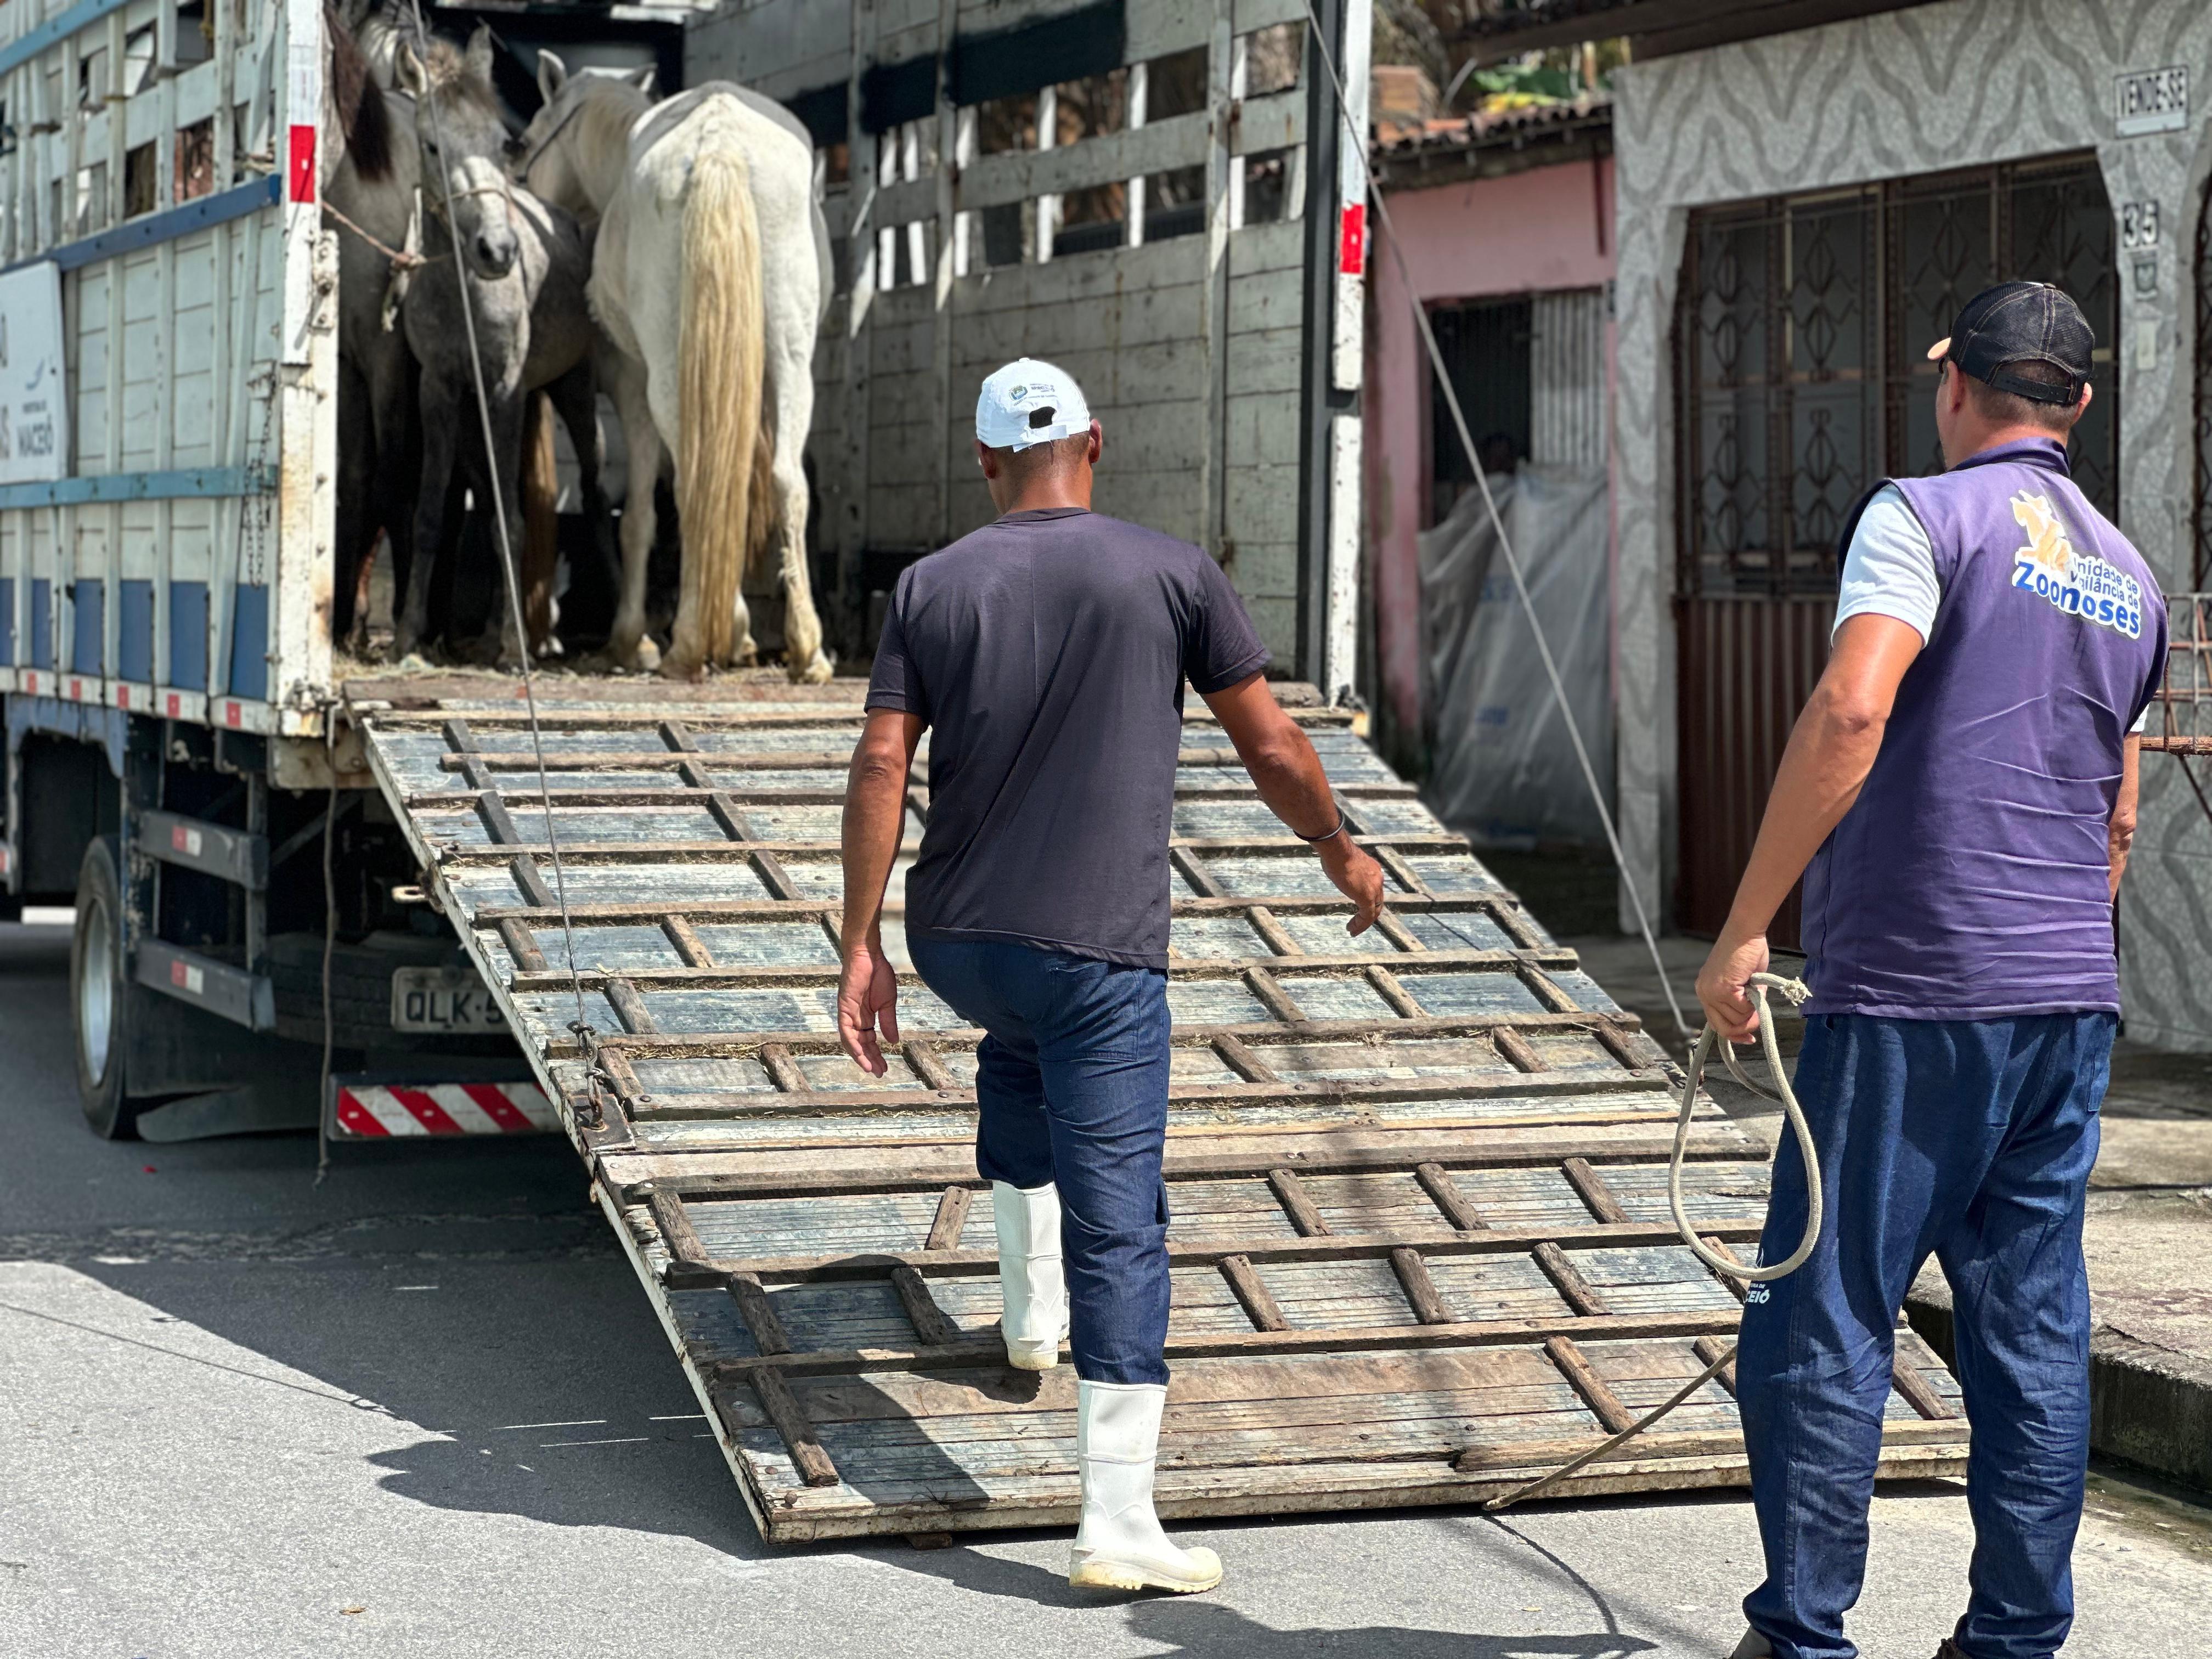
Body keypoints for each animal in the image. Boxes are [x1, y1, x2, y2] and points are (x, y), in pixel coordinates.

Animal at [513, 57, 832, 681]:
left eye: (531, 140)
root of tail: (720, 141)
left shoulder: (631, 383)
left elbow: (638, 515)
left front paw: (632, 637)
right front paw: (738, 631)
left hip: (665, 373)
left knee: (692, 483)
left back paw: (688, 643)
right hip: (791, 356)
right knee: (785, 479)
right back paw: (805, 647)